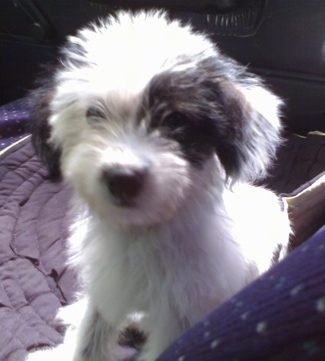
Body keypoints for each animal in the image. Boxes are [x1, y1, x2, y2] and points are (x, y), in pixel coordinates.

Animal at [27, 10, 290, 360]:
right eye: (94, 113)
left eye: (175, 120)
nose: (121, 178)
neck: (143, 230)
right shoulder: (109, 283)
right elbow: (91, 335)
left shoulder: (181, 312)